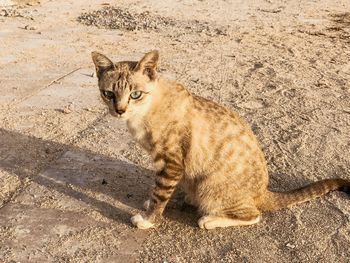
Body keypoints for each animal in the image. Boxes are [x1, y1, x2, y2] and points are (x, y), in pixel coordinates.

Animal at [92, 50, 350, 230]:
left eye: (135, 94)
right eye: (108, 94)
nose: (119, 110)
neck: (143, 115)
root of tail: (264, 191)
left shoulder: (171, 164)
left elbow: (160, 195)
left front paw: (148, 220)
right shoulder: (168, 167)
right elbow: (157, 193)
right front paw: (150, 206)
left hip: (211, 187)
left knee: (253, 215)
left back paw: (210, 219)